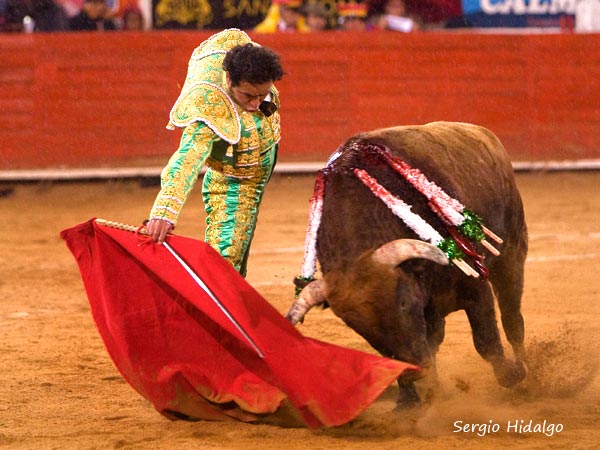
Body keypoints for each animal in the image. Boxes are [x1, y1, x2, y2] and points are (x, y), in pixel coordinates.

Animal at [288, 122, 528, 408]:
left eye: (403, 303)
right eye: (357, 326)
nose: (416, 370)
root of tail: (481, 131)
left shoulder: (475, 286)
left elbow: (486, 340)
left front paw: (512, 376)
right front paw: (410, 402)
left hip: (512, 252)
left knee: (512, 319)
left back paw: (528, 372)